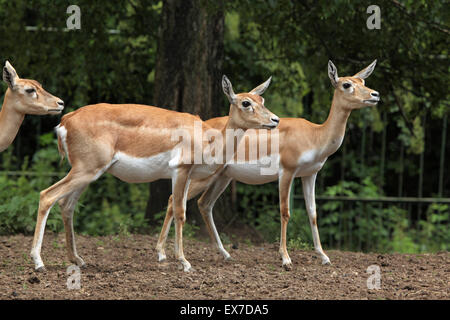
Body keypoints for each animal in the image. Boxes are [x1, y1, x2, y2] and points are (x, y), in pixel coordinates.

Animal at [29, 75, 280, 272]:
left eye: (262, 100)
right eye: (246, 102)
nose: (275, 120)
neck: (208, 139)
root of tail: (65, 121)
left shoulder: (188, 175)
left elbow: (178, 208)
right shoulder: (180, 170)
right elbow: (180, 212)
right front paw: (184, 262)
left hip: (88, 173)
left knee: (66, 205)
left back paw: (78, 260)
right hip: (86, 169)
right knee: (47, 195)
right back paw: (39, 262)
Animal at [156, 60, 382, 270]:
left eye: (363, 81)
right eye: (346, 84)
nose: (375, 94)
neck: (315, 135)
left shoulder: (310, 174)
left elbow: (313, 213)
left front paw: (324, 257)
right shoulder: (287, 171)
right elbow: (285, 211)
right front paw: (286, 259)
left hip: (223, 177)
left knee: (204, 204)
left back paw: (225, 254)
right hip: (202, 176)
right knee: (173, 201)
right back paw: (162, 254)